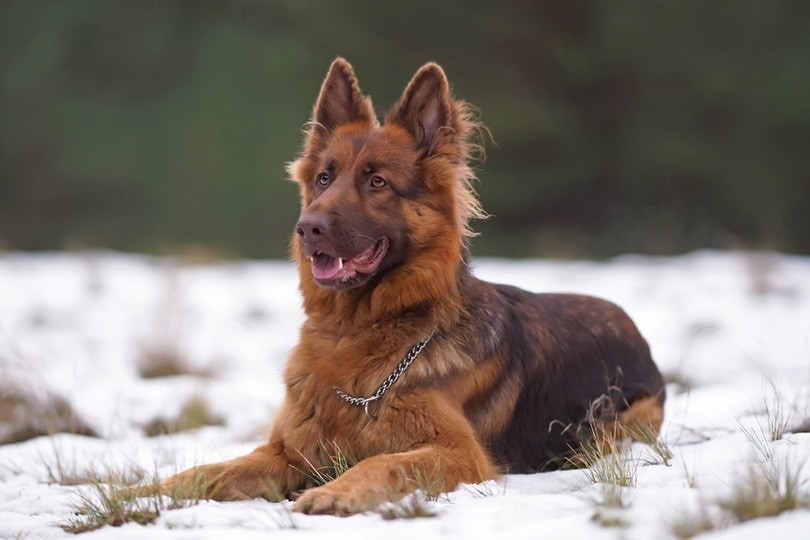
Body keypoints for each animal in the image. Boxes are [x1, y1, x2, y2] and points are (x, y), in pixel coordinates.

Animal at [148, 58, 664, 516]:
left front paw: (335, 492)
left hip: (622, 424)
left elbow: (382, 462)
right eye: (324, 177)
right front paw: (144, 492)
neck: (355, 335)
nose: (306, 228)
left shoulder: (458, 452)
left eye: (377, 181)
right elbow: (207, 471)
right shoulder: (286, 453)